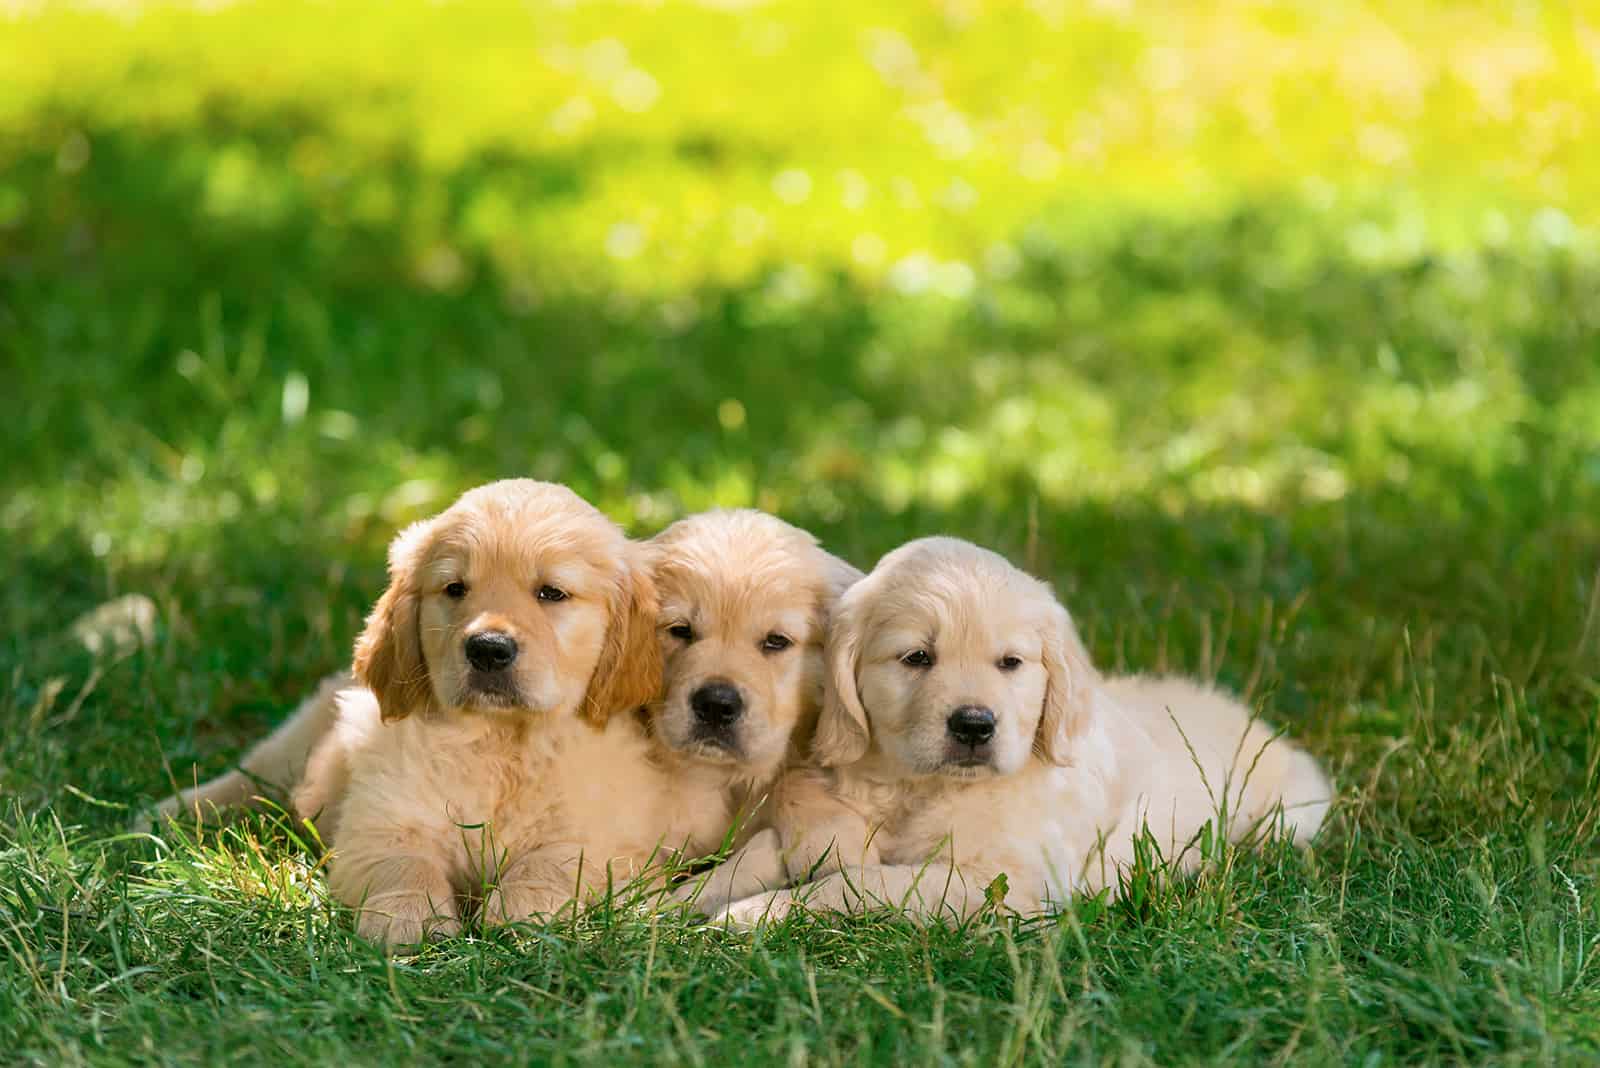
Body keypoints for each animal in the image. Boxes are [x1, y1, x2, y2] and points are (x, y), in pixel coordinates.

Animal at [720, 537, 1331, 920]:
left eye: (1010, 663)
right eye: (917, 657)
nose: (974, 726)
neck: (918, 790)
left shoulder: (1007, 881)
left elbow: (863, 883)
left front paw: (755, 914)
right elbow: (758, 854)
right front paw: (703, 896)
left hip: (1287, 816)